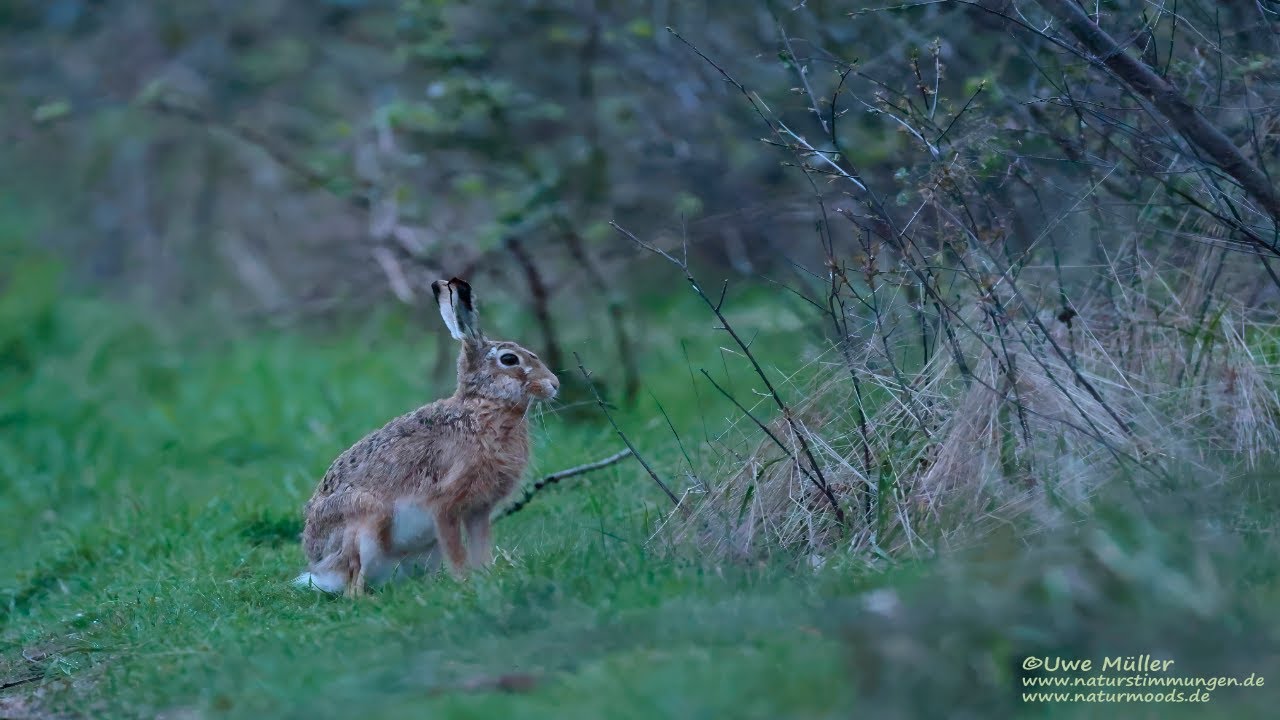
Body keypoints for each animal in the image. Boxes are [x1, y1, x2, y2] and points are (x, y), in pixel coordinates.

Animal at [293, 277, 559, 596]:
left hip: (424, 550)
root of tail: (320, 568)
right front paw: (465, 585)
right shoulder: (444, 504)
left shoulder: (478, 510)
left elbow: (480, 547)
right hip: (364, 520)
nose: (554, 384)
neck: (482, 407)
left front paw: (485, 578)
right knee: (353, 586)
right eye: (509, 359)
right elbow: (456, 551)